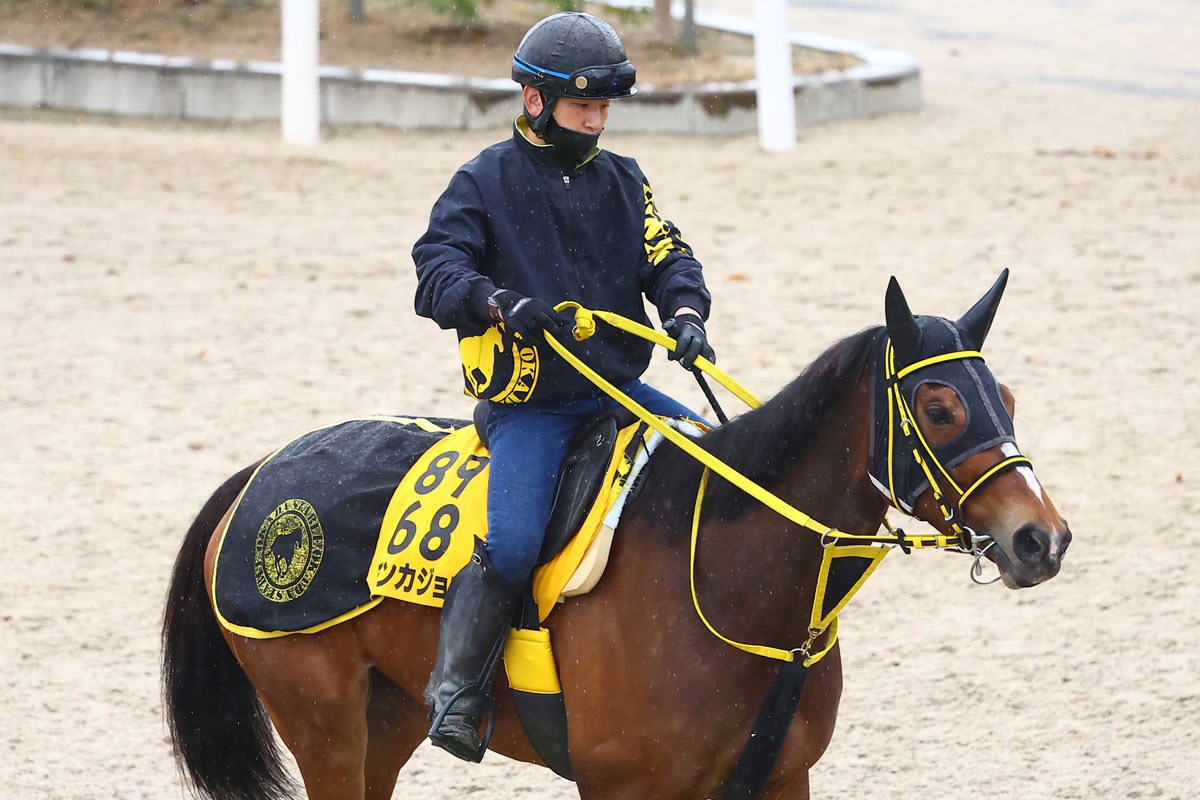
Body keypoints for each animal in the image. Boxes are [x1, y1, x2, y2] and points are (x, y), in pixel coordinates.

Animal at [162, 273, 1070, 800]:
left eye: (1009, 399)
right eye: (939, 408)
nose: (1041, 538)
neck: (725, 580)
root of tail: (260, 473)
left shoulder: (781, 778)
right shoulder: (622, 787)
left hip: (384, 721)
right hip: (322, 723)